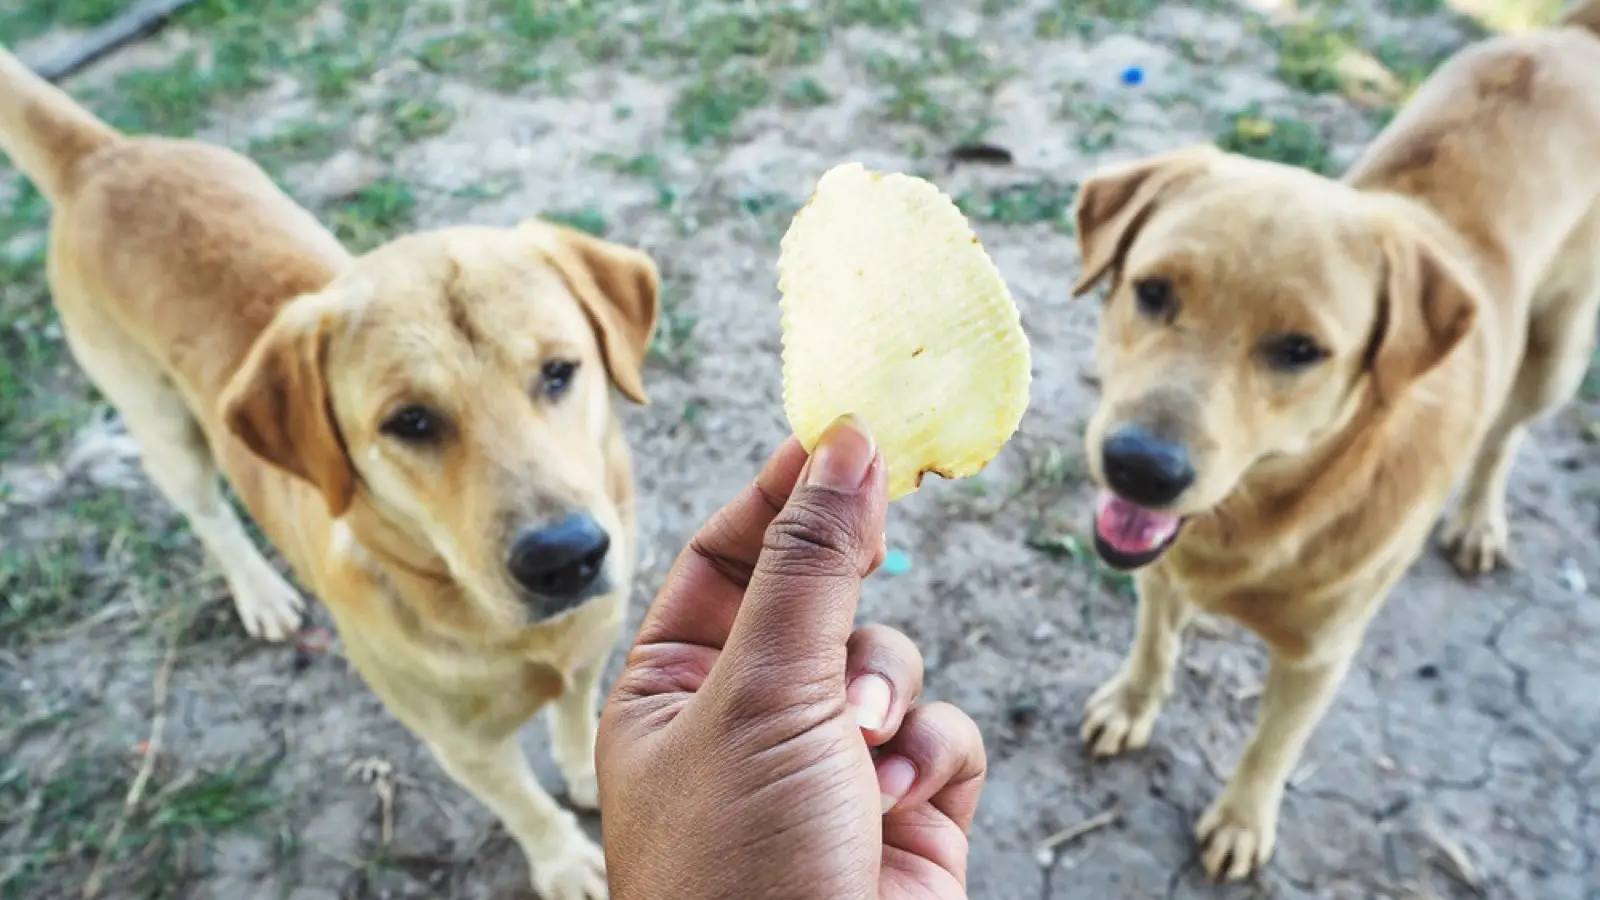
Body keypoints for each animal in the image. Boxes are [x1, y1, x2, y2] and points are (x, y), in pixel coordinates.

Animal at [0, 45, 656, 890]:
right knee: (207, 514)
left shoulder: (588, 654)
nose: (564, 558)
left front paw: (590, 775)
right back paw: (259, 592)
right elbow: (525, 806)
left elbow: (575, 723)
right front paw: (566, 862)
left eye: (559, 371)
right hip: (162, 429)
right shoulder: (464, 748)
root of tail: (102, 157)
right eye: (410, 421)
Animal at [1068, 1, 1600, 883]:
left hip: (1556, 355)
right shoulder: (1159, 570)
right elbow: (1154, 642)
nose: (1139, 469)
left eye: (1299, 350)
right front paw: (1131, 701)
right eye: (1152, 290)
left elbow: (1273, 745)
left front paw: (1242, 818)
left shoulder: (1320, 657)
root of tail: (1568, 37)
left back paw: (1479, 519)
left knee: (1506, 436)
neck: (1268, 514)